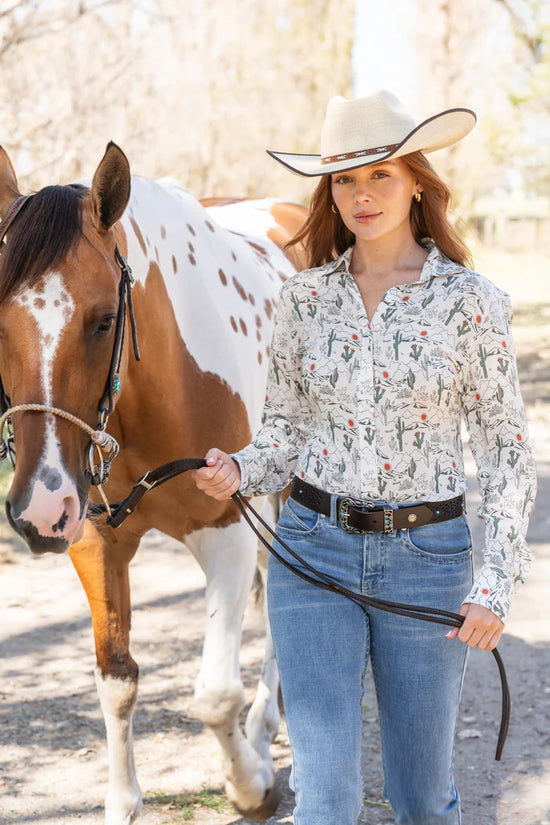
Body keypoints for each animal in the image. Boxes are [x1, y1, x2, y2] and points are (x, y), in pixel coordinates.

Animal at [0, 143, 308, 824]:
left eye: (104, 320)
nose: (40, 506)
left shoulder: (227, 531)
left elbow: (215, 694)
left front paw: (250, 783)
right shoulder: (94, 541)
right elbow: (116, 679)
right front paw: (122, 801)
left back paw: (264, 731)